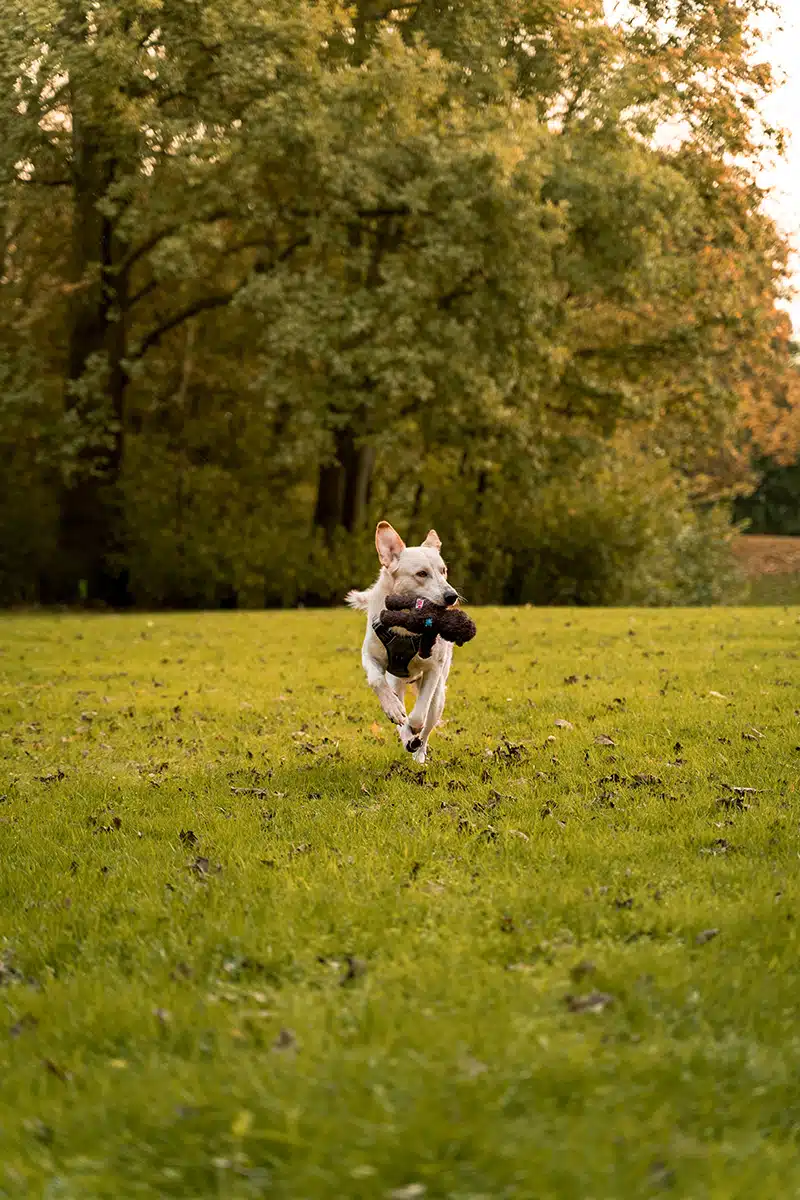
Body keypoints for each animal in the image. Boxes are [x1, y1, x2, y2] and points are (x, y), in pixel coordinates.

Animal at [347, 520, 460, 763]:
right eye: (421, 573)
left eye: (443, 571)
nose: (452, 596)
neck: (405, 626)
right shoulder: (369, 656)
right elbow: (376, 681)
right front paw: (393, 710)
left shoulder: (433, 669)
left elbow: (418, 715)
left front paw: (413, 729)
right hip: (396, 682)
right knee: (398, 705)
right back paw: (403, 727)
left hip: (439, 697)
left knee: (427, 724)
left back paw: (418, 750)